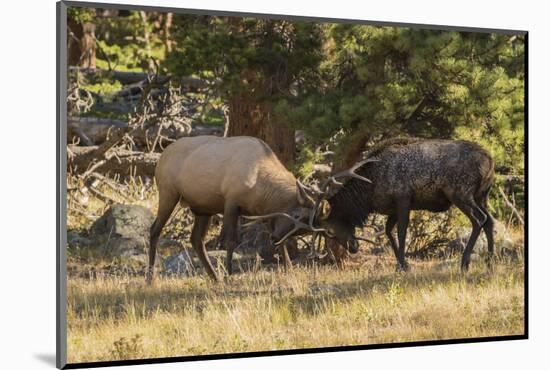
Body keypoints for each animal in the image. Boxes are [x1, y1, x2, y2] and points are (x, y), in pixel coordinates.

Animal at [148, 136, 320, 284]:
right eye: (296, 215)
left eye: (302, 230)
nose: (274, 237)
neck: (262, 189)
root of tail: (161, 156)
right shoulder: (231, 202)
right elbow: (230, 241)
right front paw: (229, 273)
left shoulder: (266, 213)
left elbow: (281, 243)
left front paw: (288, 269)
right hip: (168, 193)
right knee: (154, 230)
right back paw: (150, 277)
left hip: (203, 208)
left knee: (196, 239)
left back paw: (214, 277)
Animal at [312, 137, 498, 270]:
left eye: (329, 231)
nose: (353, 248)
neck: (370, 190)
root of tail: (490, 161)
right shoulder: (392, 208)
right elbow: (389, 231)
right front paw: (403, 264)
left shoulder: (403, 198)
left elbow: (401, 231)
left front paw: (402, 265)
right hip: (482, 196)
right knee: (489, 221)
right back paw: (490, 261)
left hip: (460, 192)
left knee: (479, 219)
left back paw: (465, 262)